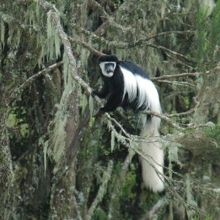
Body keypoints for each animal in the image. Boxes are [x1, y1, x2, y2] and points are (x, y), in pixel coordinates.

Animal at [93, 55, 164, 192]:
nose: (110, 69)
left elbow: (118, 94)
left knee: (126, 96)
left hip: (139, 97)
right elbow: (106, 88)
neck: (112, 73)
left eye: (112, 64)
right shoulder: (106, 77)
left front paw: (104, 109)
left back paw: (125, 106)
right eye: (107, 64)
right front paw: (97, 93)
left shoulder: (118, 77)